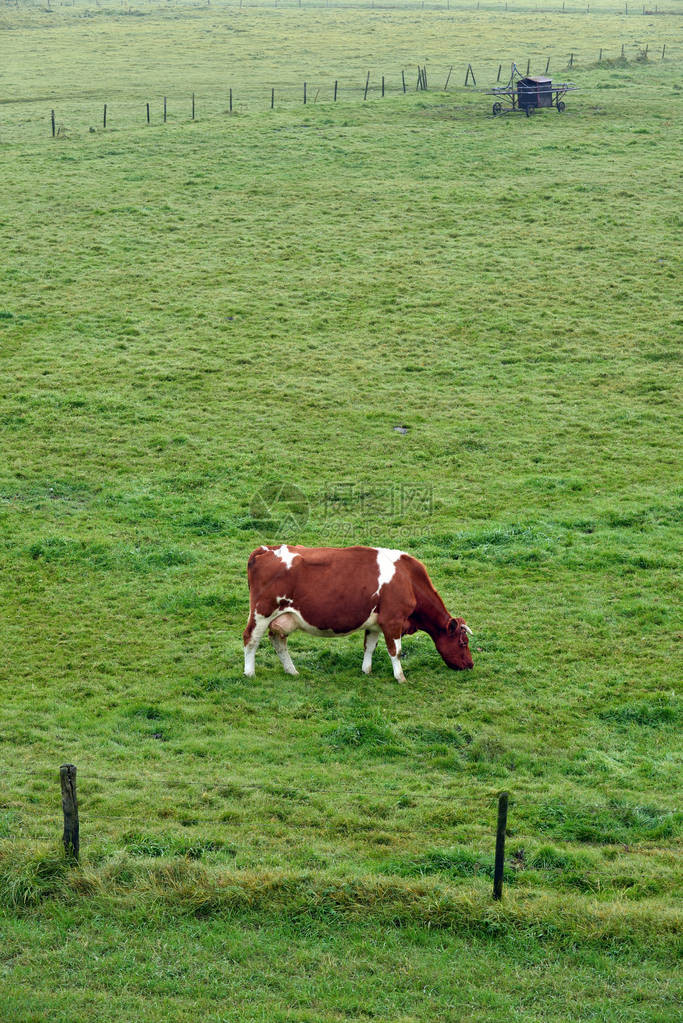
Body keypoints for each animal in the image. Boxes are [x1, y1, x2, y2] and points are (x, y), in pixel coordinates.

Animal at [242, 544, 472, 679]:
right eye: (463, 643)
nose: (470, 665)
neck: (408, 580)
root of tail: (265, 549)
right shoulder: (393, 620)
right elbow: (395, 651)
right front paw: (400, 677)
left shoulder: (376, 623)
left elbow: (370, 646)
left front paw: (366, 670)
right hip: (261, 612)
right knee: (250, 639)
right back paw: (249, 672)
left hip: (282, 618)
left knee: (278, 641)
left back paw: (291, 670)